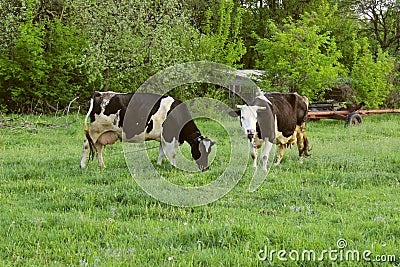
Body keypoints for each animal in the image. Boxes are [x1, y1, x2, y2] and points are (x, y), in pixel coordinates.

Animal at [79, 92, 214, 172]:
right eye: (200, 151)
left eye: (209, 152)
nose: (205, 168)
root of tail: (100, 93)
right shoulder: (169, 136)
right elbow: (172, 154)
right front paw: (174, 167)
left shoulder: (163, 137)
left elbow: (161, 152)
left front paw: (159, 165)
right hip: (95, 130)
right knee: (86, 145)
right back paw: (83, 165)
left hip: (103, 132)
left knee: (98, 148)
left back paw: (102, 166)